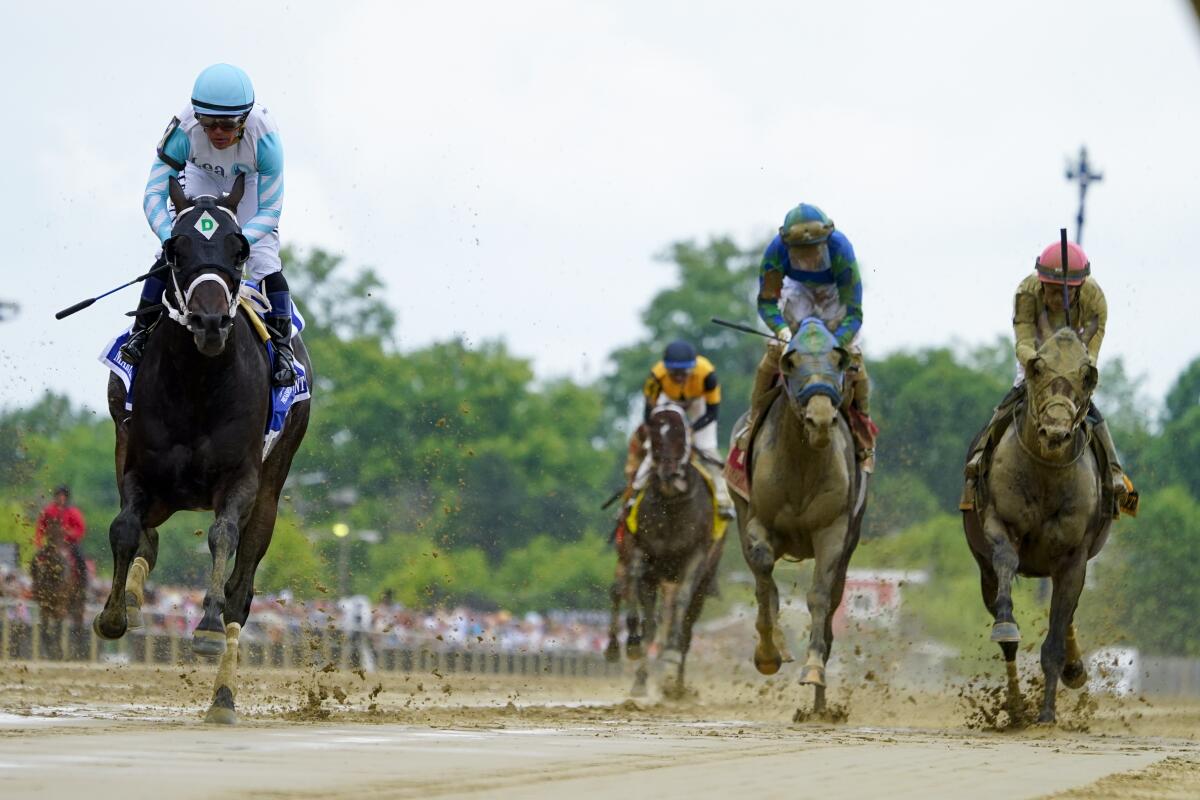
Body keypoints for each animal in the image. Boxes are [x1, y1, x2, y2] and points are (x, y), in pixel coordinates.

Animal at [30, 520, 88, 662]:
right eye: (35, 569)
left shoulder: (61, 603)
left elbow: (58, 626)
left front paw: (57, 653)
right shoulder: (43, 606)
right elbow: (44, 628)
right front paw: (51, 652)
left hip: (78, 603)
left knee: (78, 625)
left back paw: (75, 652)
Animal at [93, 176, 312, 724]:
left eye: (239, 249)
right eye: (177, 248)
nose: (209, 322)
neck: (198, 382)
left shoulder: (242, 478)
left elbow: (222, 538)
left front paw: (208, 627)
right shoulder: (138, 464)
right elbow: (125, 528)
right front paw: (114, 614)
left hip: (272, 486)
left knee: (242, 592)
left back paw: (223, 696)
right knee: (146, 535)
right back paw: (134, 595)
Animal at [619, 402, 720, 695]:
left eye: (680, 434)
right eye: (654, 436)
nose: (668, 472)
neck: (672, 506)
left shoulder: (697, 555)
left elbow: (682, 603)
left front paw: (671, 656)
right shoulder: (641, 554)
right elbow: (642, 613)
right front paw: (633, 647)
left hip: (705, 582)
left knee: (686, 630)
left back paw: (677, 686)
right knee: (653, 625)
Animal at [960, 321, 1108, 724]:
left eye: (1087, 375)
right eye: (1037, 368)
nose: (1055, 432)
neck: (1046, 476)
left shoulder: (1074, 557)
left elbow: (1055, 639)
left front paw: (1047, 714)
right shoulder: (999, 522)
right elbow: (1006, 560)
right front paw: (1006, 626)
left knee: (1067, 613)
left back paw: (1072, 671)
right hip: (983, 571)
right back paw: (1014, 707)